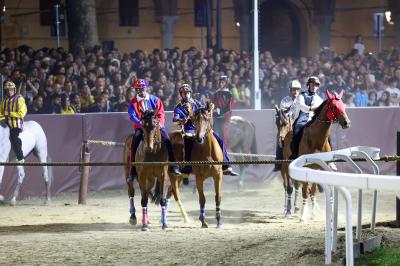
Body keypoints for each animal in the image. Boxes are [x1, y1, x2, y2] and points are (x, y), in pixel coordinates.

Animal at [296, 90, 350, 221]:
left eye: (343, 105)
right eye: (334, 106)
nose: (347, 123)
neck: (316, 140)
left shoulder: (322, 168)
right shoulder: (305, 168)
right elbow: (305, 191)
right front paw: (303, 215)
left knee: (313, 190)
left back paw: (314, 212)